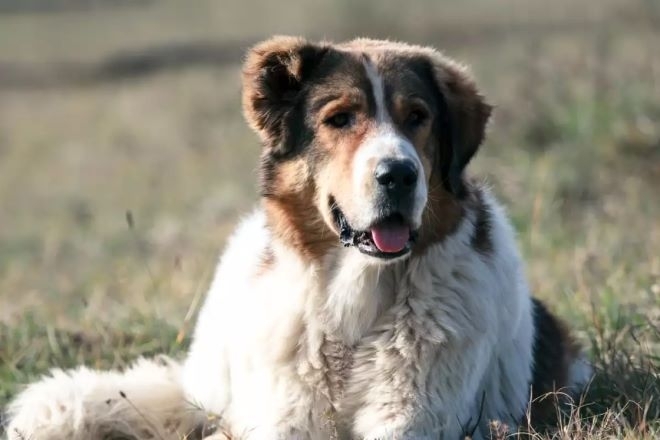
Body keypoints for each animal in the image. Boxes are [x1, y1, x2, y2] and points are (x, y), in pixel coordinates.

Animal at [6, 37, 592, 440]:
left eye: (418, 117)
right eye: (341, 118)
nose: (399, 175)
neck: (357, 301)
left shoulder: (415, 418)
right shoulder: (282, 418)